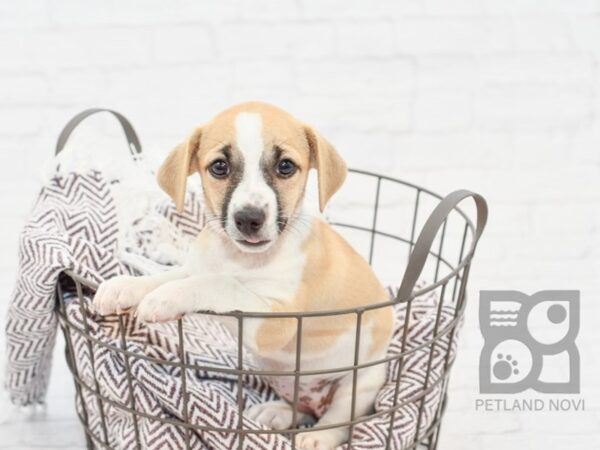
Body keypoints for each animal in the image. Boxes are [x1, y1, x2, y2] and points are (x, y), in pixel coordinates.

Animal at [94, 103, 394, 450]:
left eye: (285, 166)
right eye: (219, 167)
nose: (249, 218)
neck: (242, 259)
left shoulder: (276, 322)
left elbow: (220, 284)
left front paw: (167, 297)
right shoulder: (195, 267)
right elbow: (165, 274)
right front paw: (125, 286)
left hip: (361, 382)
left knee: (340, 419)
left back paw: (318, 436)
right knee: (300, 407)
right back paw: (277, 412)